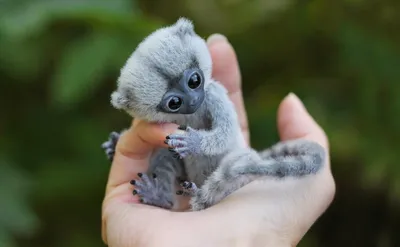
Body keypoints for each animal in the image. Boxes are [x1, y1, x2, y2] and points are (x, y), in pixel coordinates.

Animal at [101, 16, 326, 210]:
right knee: (164, 153)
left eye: (194, 81)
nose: (193, 100)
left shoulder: (213, 95)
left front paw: (194, 142)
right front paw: (115, 143)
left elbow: (225, 134)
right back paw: (160, 199)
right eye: (174, 103)